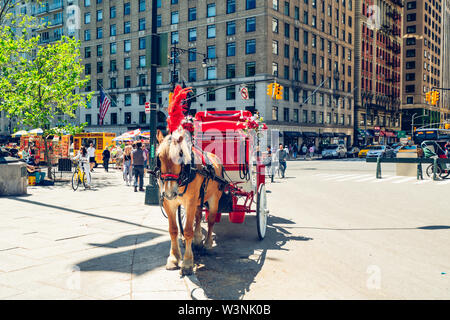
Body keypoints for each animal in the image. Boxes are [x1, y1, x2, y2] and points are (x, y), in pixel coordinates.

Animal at [156, 127, 224, 276]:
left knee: (211, 221)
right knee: (198, 217)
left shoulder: (190, 202)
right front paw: (174, 258)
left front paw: (187, 263)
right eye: (159, 157)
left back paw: (208, 244)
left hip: (214, 199)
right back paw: (198, 239)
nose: (169, 192)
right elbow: (173, 230)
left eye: (180, 155)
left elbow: (187, 231)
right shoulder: (169, 203)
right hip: (199, 199)